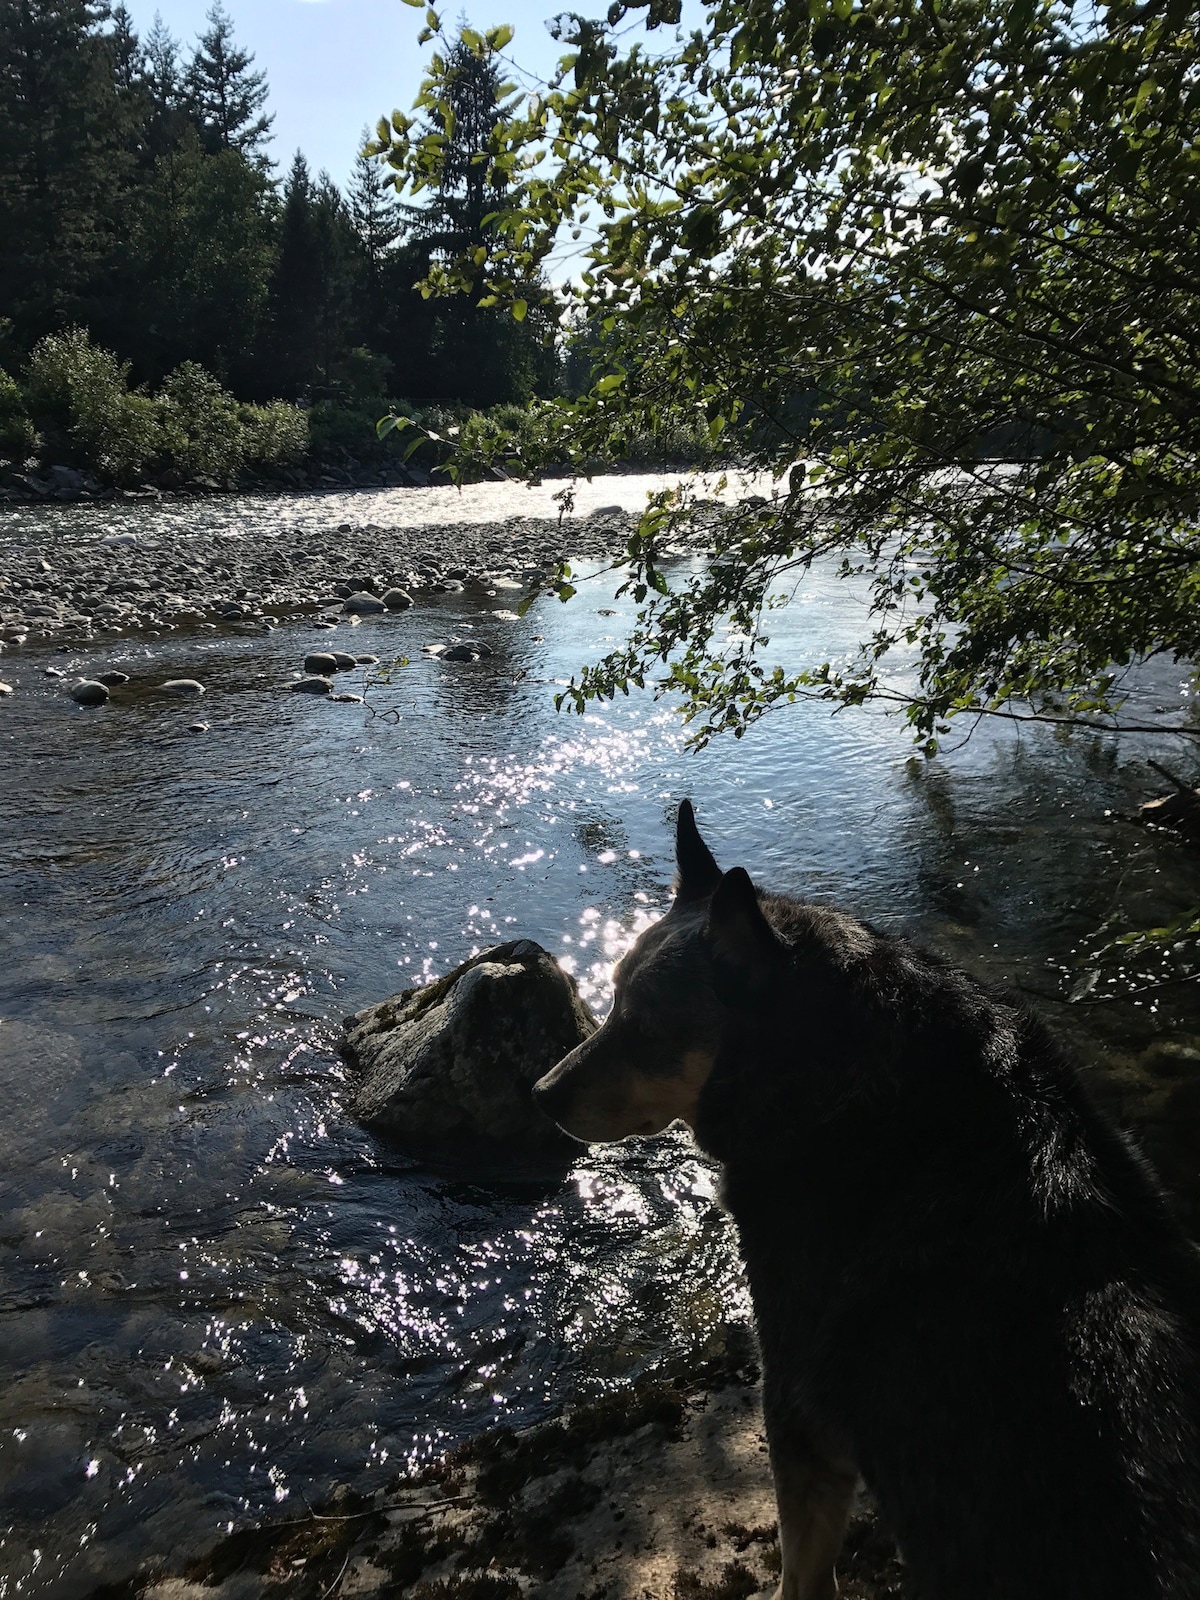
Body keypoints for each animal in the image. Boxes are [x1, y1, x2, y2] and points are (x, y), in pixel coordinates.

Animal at [537, 806, 1200, 1600]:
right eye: (609, 998)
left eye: (641, 1026)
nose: (540, 1095)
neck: (848, 1088)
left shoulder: (795, 1408)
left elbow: (802, 1575)